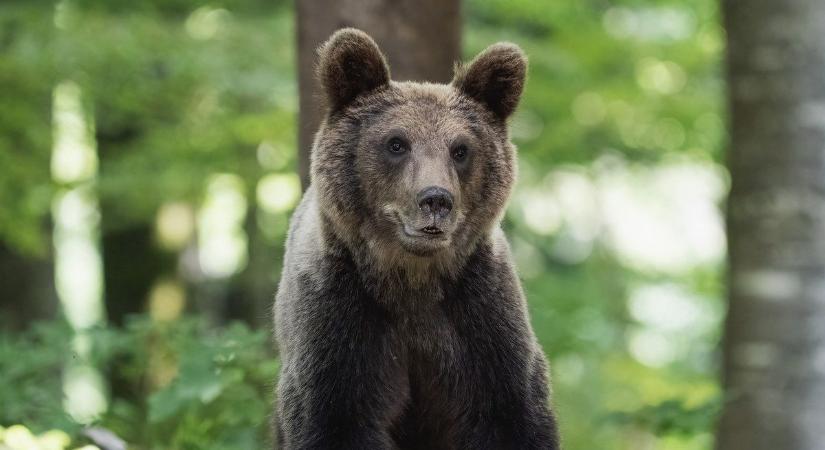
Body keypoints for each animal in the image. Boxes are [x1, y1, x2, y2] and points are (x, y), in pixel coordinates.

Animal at [276, 29, 560, 450]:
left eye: (460, 149)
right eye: (396, 143)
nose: (436, 199)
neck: (412, 278)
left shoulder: (483, 323)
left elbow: (513, 417)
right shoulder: (338, 323)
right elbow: (334, 421)